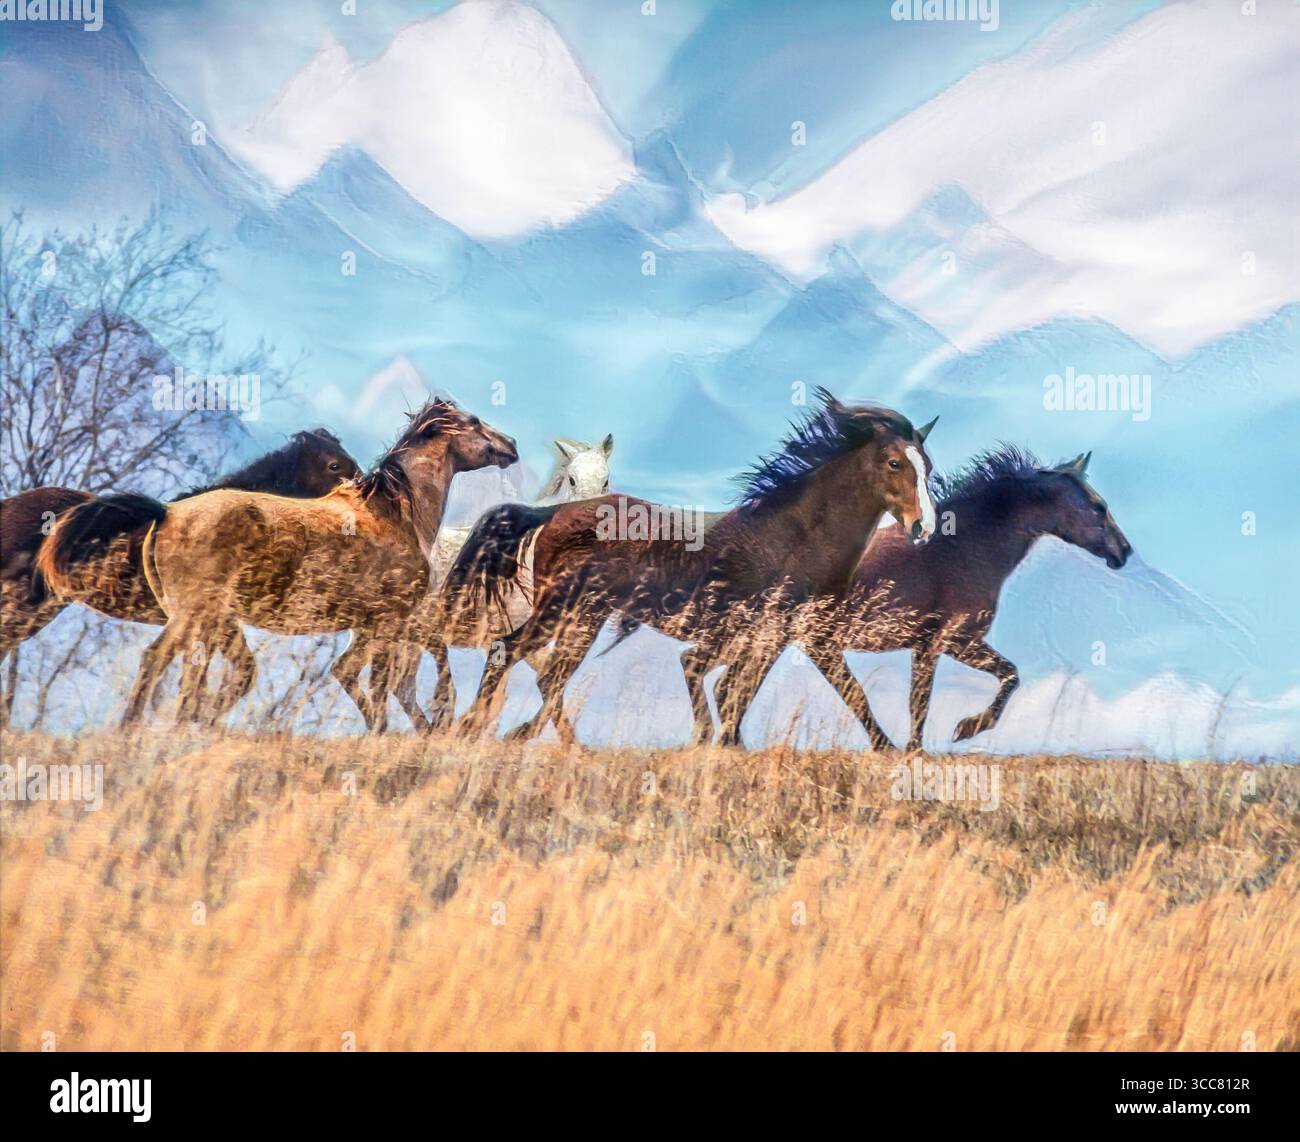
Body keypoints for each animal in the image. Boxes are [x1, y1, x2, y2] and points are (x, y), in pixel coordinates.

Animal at [120, 398, 517, 729]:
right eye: (474, 421)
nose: (511, 445)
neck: (393, 514)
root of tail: (166, 513)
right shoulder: (388, 623)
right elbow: (376, 688)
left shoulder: (373, 627)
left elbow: (357, 677)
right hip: (195, 615)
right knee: (156, 660)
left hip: (205, 620)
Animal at [437, 388, 938, 745]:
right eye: (894, 463)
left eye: (928, 467)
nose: (924, 528)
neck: (794, 535)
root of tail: (553, 512)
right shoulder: (802, 635)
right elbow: (841, 693)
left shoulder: (781, 636)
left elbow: (738, 691)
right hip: (564, 609)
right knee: (512, 653)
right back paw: (474, 729)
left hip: (584, 616)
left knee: (546, 673)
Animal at [722, 446, 1133, 752]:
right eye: (1099, 507)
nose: (1124, 552)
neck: (963, 547)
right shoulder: (948, 641)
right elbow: (942, 696)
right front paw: (959, 732)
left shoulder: (935, 645)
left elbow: (950, 692)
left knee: (732, 689)